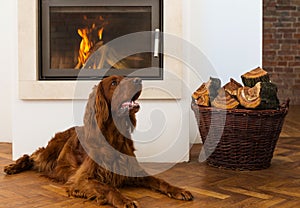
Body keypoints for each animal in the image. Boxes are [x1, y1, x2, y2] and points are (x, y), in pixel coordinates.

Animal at [3, 75, 193, 207]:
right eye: (114, 83)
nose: (139, 79)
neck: (114, 137)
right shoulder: (82, 178)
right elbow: (107, 187)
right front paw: (125, 200)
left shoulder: (131, 169)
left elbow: (159, 180)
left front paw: (178, 190)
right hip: (50, 154)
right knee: (31, 156)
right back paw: (12, 167)